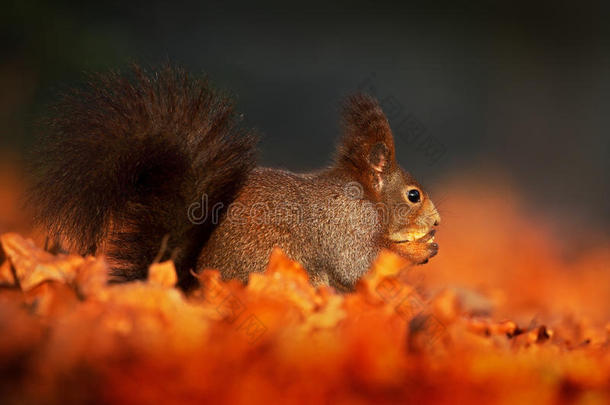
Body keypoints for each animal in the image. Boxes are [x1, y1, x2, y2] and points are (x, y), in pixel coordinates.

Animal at [28, 64, 440, 288]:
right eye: (413, 195)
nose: (437, 222)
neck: (365, 197)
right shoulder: (347, 227)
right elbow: (356, 266)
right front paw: (418, 249)